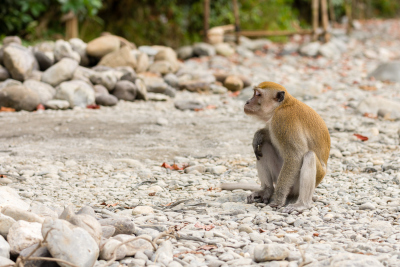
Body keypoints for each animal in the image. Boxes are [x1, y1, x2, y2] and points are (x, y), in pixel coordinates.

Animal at [220, 81, 330, 214]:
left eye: (258, 94)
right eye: (254, 93)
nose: (247, 101)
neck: (282, 105)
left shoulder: (283, 120)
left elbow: (295, 156)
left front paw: (279, 200)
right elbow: (266, 137)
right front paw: (259, 135)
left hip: (295, 185)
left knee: (309, 156)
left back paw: (302, 204)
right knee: (263, 147)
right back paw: (266, 190)